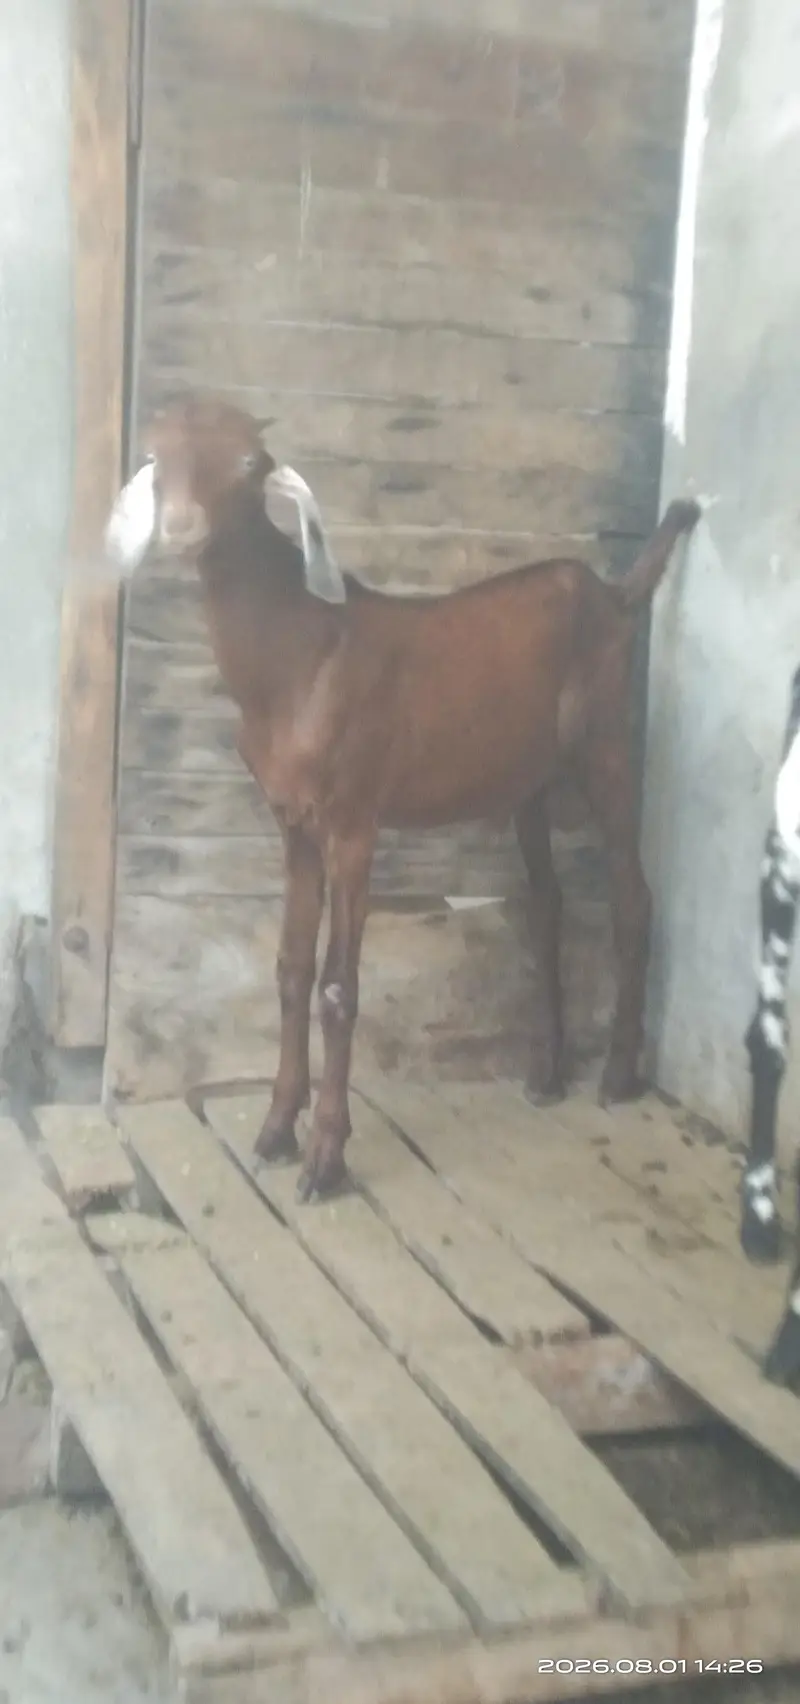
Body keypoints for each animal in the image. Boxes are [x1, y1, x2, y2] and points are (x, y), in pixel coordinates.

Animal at [106, 396, 700, 1203]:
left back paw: (615, 1074)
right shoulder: (292, 821)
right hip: (529, 778)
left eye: (251, 463)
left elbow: (337, 987)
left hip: (606, 741)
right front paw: (275, 1130)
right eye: (156, 454)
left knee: (633, 895)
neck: (297, 657)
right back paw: (547, 1073)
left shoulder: (354, 818)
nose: (182, 526)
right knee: (546, 903)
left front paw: (326, 1158)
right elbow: (290, 971)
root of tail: (612, 593)